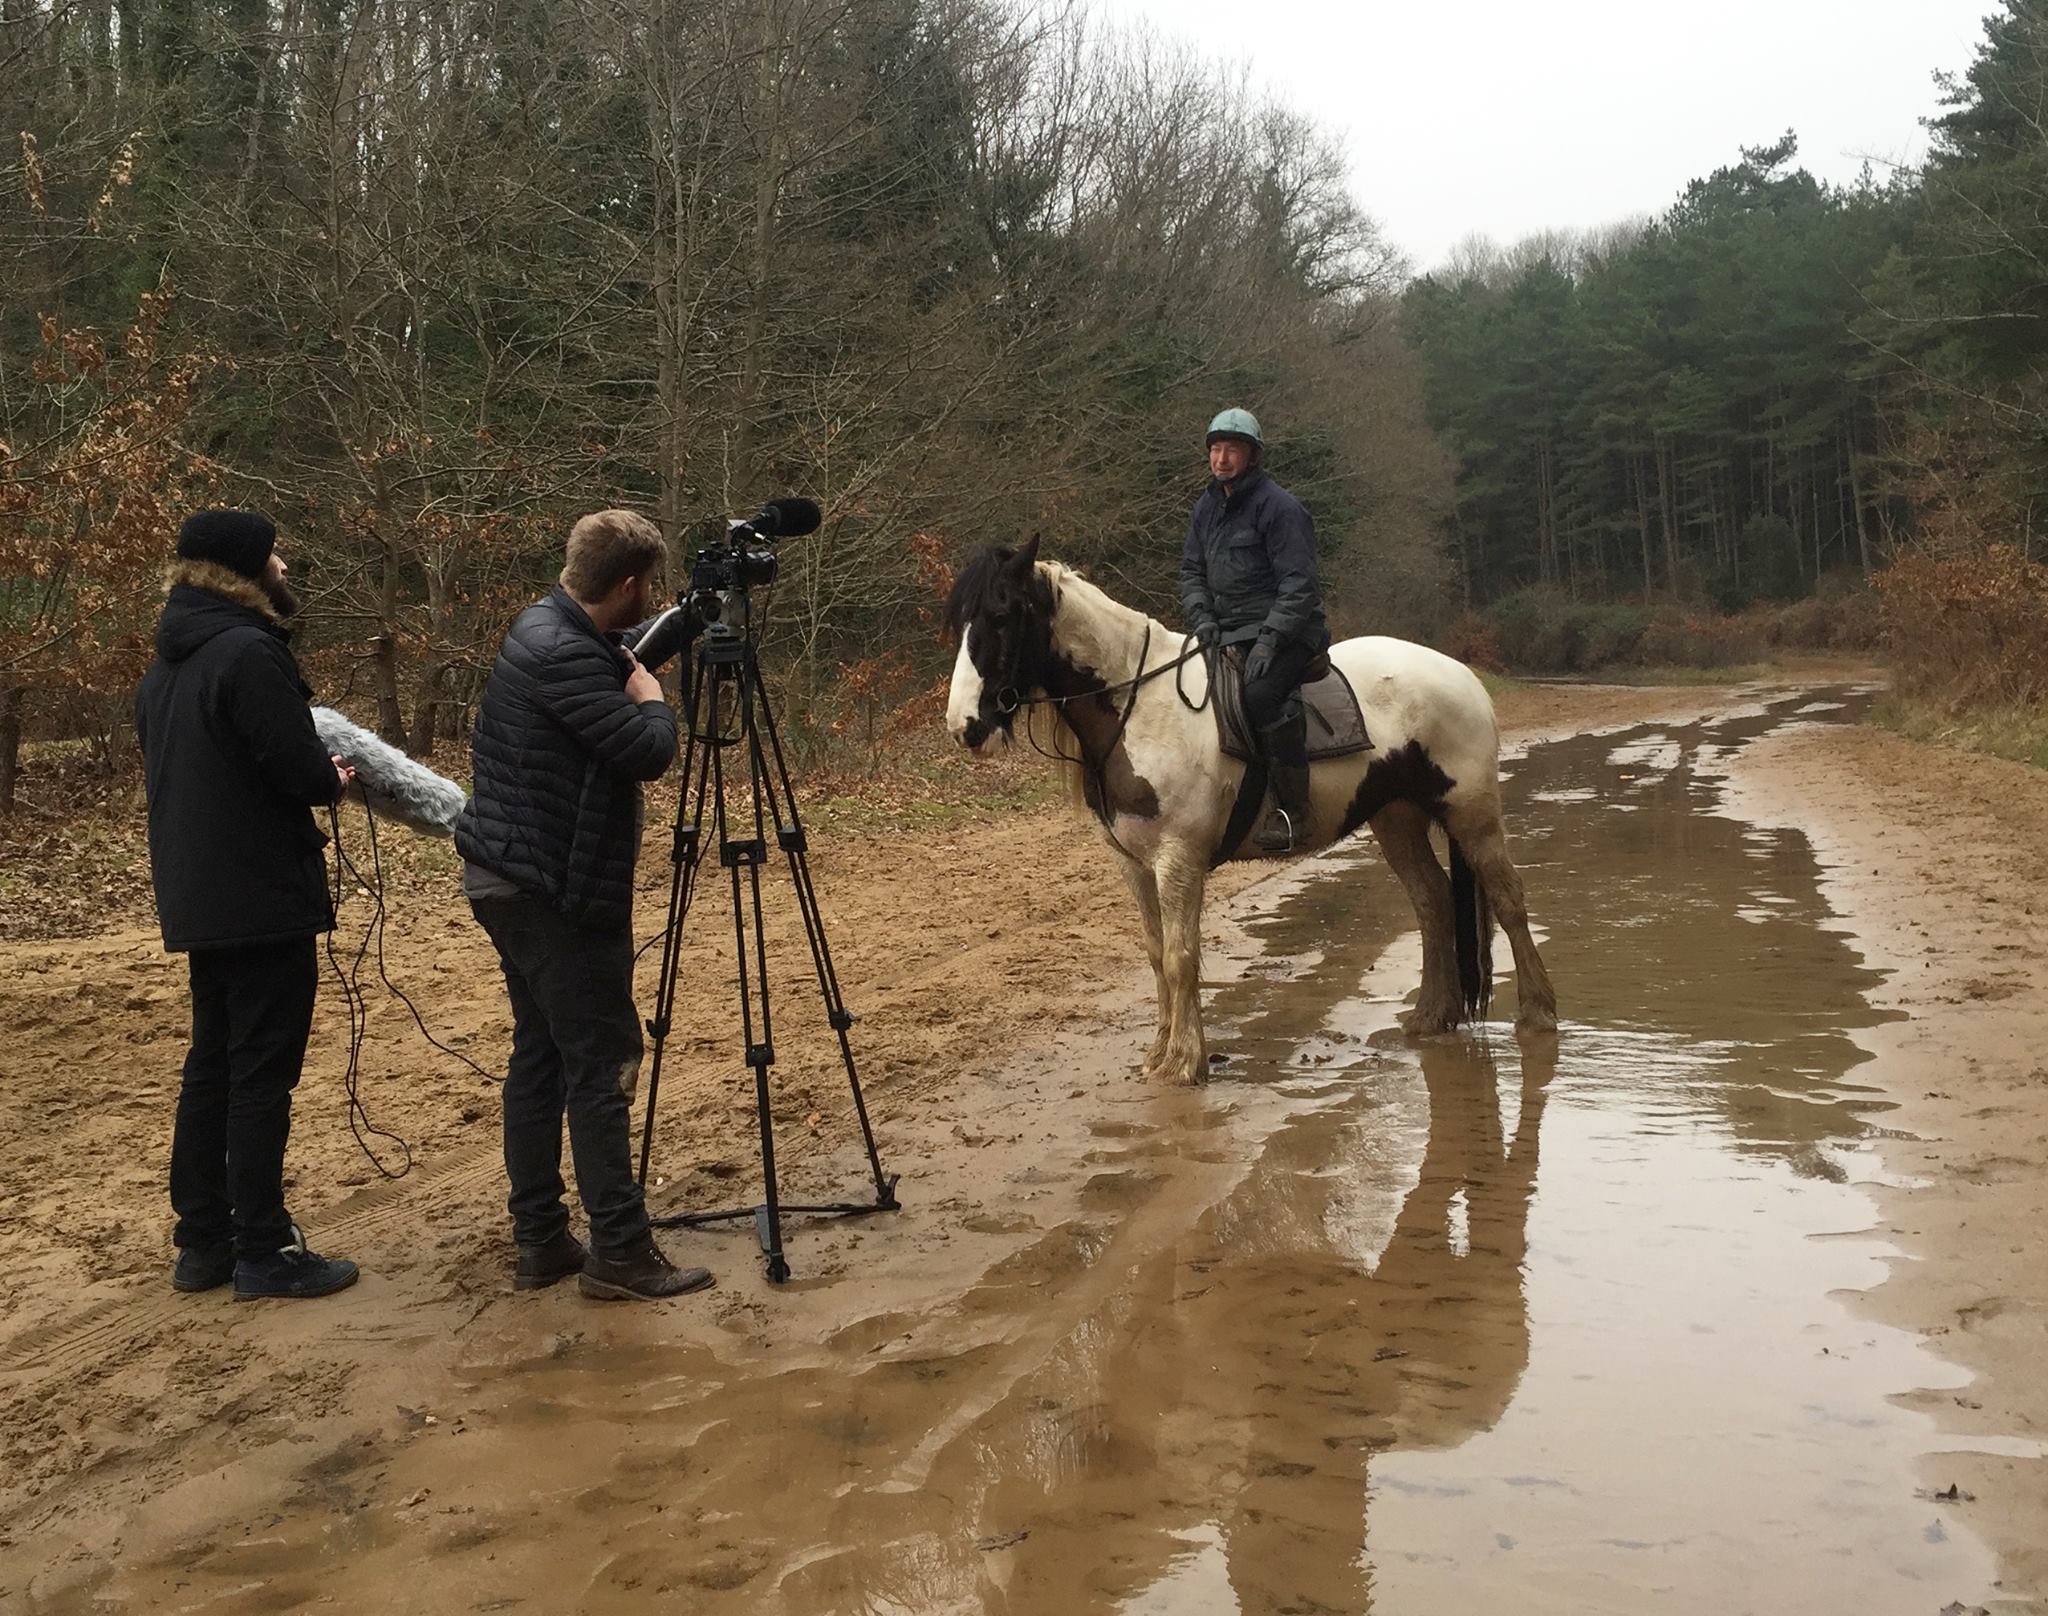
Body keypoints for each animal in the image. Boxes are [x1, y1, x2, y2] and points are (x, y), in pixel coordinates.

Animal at [943, 537, 1556, 1084]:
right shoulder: (1134, 864)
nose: (964, 727)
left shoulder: (1178, 861)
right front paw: (1158, 1053)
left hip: (1471, 813)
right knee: (1432, 902)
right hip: (1397, 817)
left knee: (1508, 900)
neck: (1141, 707)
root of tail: (1463, 675)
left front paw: (1185, 1062)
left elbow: (1181, 957)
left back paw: (1538, 1012)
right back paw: (1432, 1016)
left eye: (1001, 615)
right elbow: (1155, 954)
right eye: (961, 621)